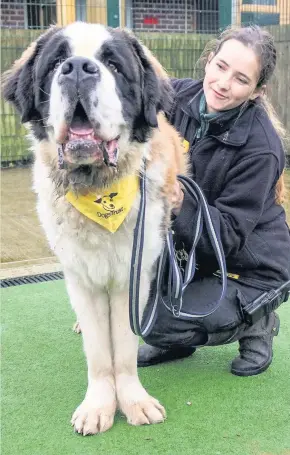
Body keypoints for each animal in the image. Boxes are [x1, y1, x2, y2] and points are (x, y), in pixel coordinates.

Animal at [3, 23, 188, 436]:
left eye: (113, 65)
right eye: (56, 61)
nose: (76, 68)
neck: (98, 188)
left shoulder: (131, 276)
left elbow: (124, 347)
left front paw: (134, 402)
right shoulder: (81, 276)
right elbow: (100, 352)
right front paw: (99, 406)